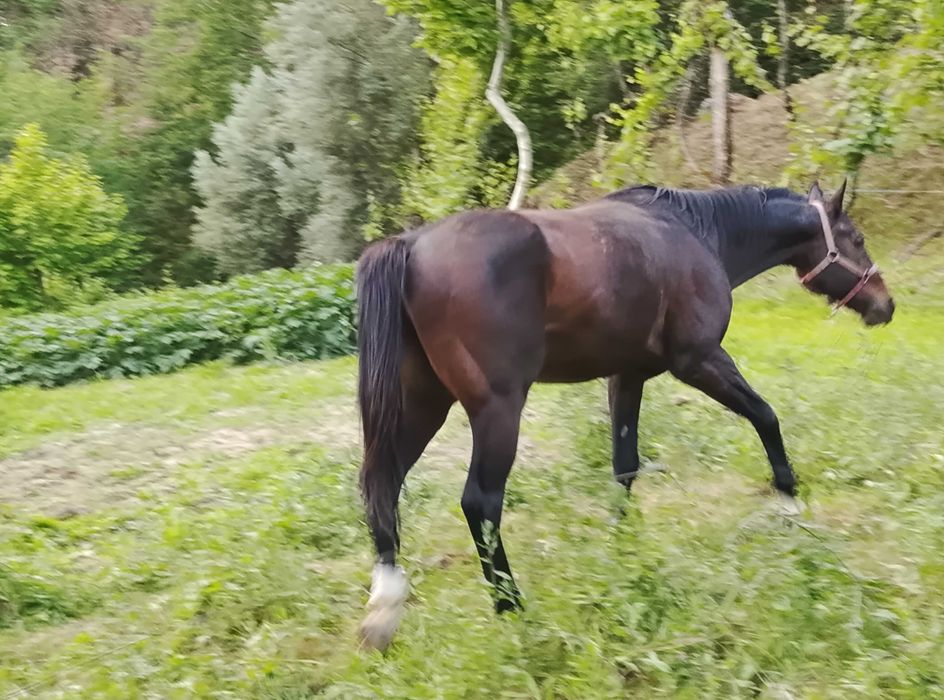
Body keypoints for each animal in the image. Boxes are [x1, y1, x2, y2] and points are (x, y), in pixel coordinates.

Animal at [355, 180, 894, 649]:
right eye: (857, 238)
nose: (885, 305)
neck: (696, 232)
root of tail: (410, 245)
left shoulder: (627, 377)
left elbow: (625, 466)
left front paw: (623, 552)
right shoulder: (699, 360)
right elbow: (766, 417)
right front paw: (788, 506)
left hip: (425, 405)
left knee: (382, 484)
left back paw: (385, 609)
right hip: (497, 410)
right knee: (479, 503)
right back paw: (510, 607)